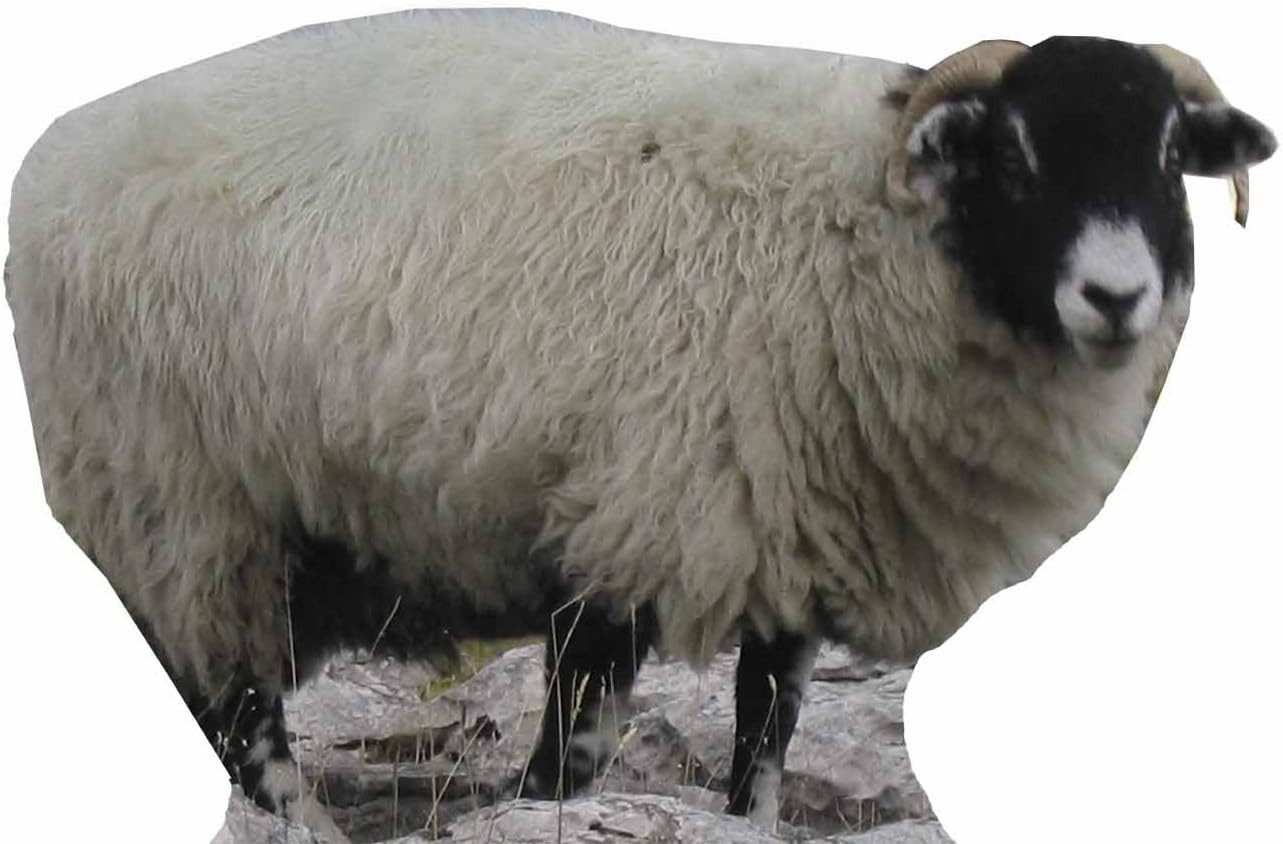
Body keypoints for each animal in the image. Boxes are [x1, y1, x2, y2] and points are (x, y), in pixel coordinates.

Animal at [4, 8, 1275, 839]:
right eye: (1010, 153)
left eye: (1170, 153)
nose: (1114, 296)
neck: (875, 229)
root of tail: (50, 153)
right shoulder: (628, 514)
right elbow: (572, 754)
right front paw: (545, 805)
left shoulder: (788, 530)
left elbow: (764, 734)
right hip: (175, 504)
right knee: (239, 721)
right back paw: (297, 817)